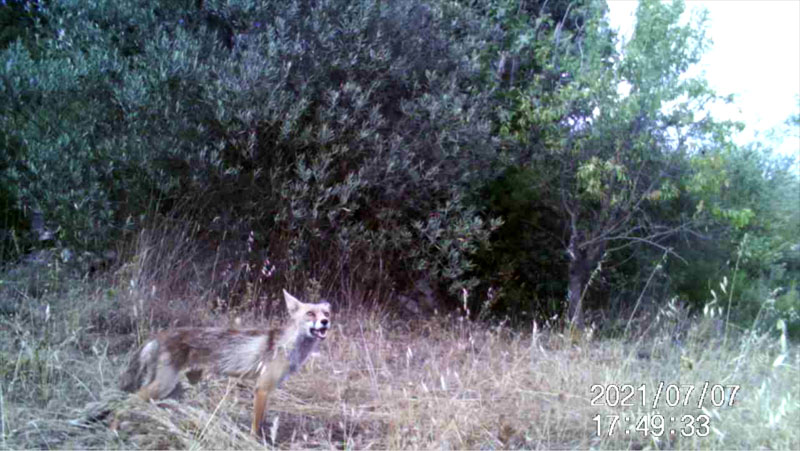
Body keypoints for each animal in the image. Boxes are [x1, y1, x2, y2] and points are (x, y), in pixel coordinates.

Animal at [119, 290, 332, 438]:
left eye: (326, 313)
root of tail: (157, 335)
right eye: (310, 313)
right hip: (164, 386)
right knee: (125, 402)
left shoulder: (268, 389)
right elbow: (256, 426)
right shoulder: (261, 388)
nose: (325, 322)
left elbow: (263, 420)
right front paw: (254, 442)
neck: (288, 345)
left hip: (173, 389)